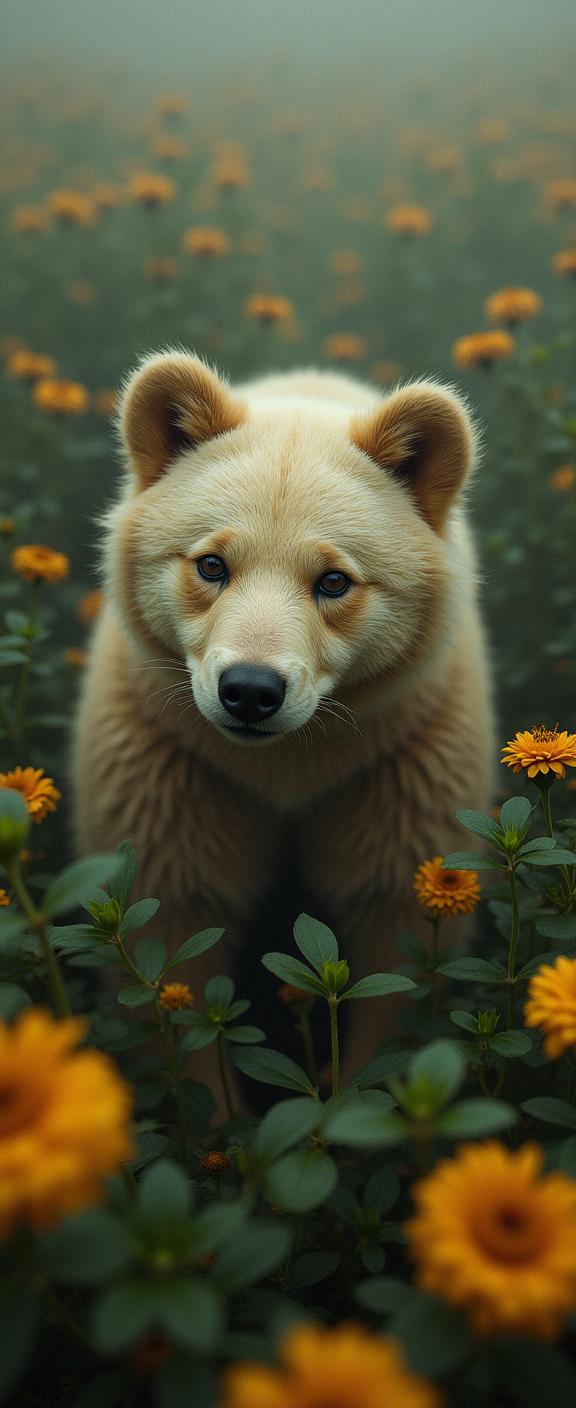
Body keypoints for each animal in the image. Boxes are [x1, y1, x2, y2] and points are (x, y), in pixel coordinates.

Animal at [72, 351, 494, 1103]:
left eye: (334, 580)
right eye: (211, 563)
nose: (249, 691)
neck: (288, 763)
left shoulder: (401, 760)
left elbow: (403, 938)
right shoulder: (170, 761)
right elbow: (165, 930)